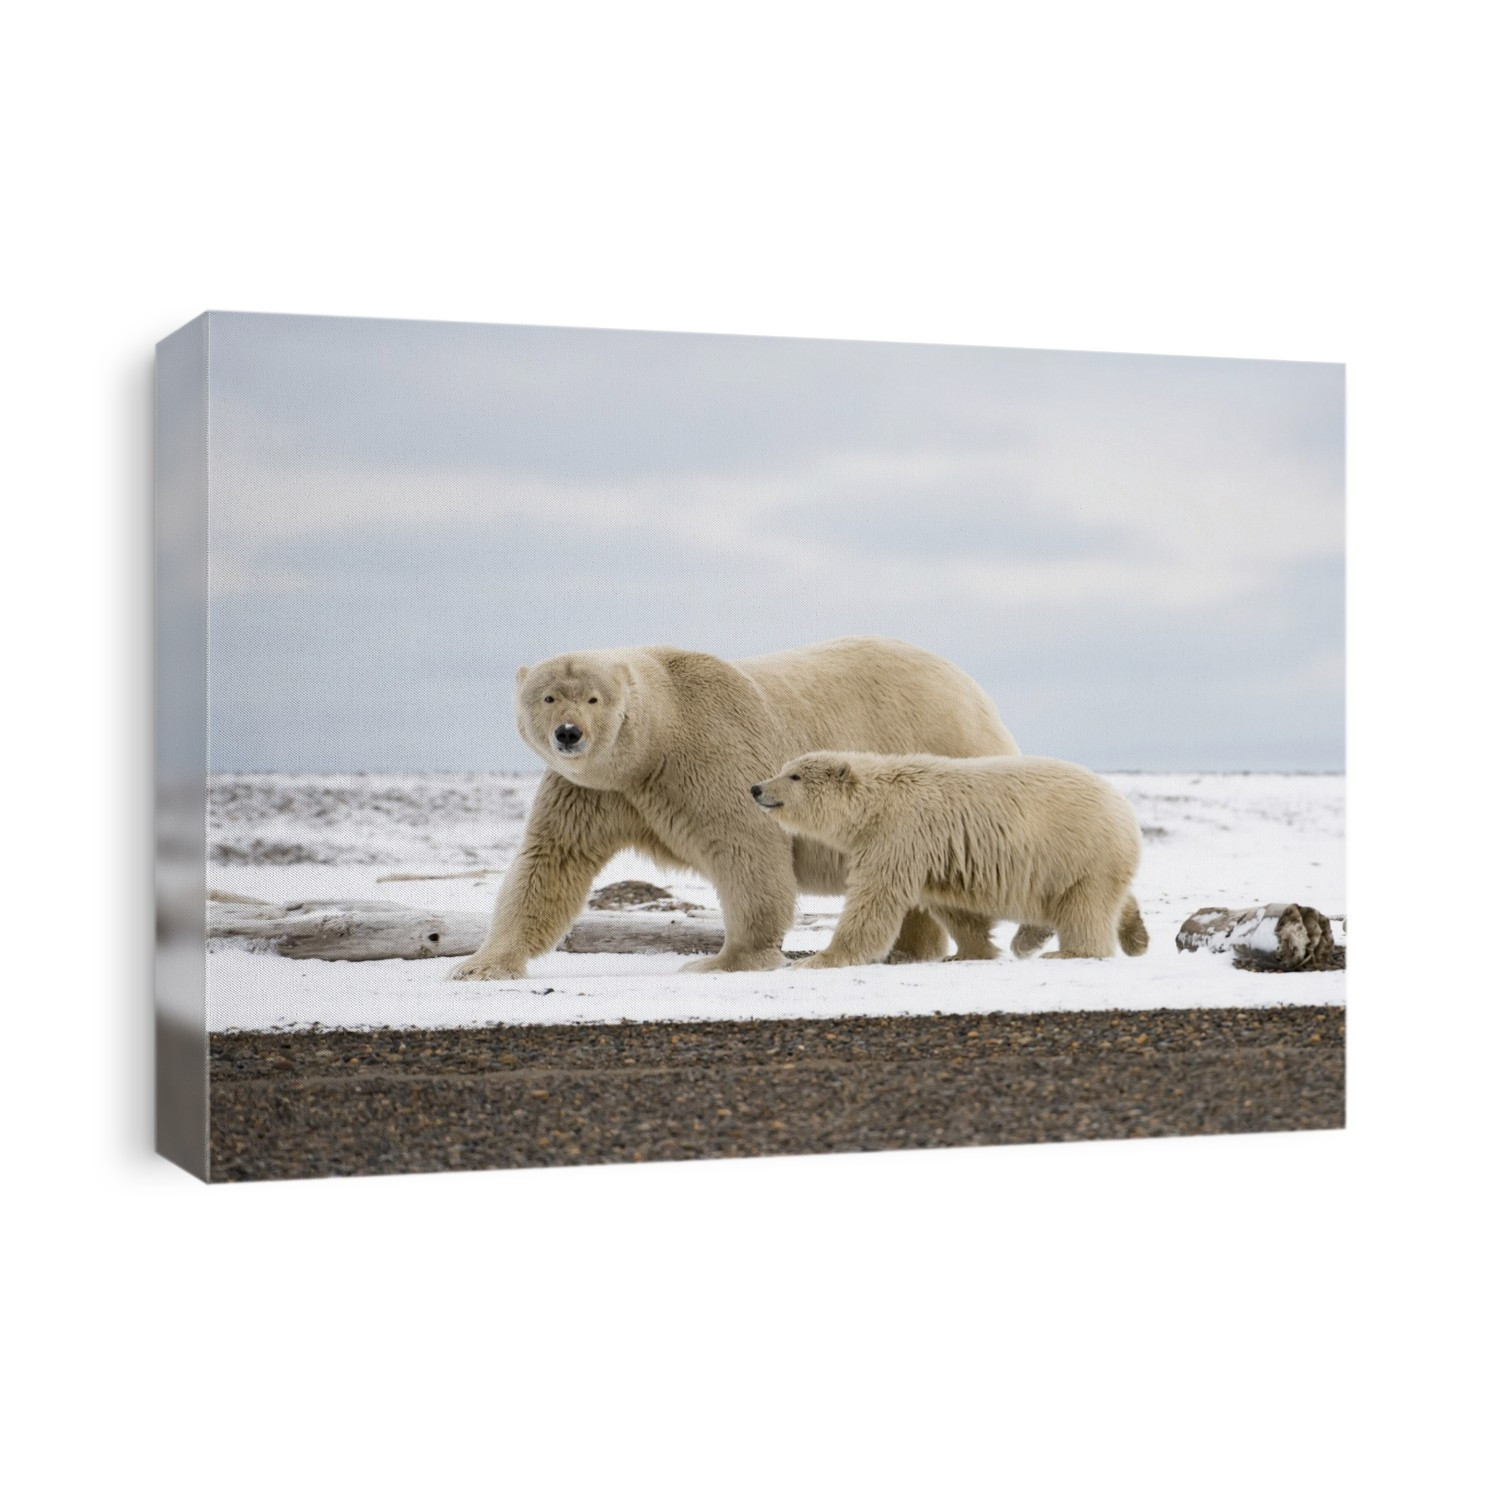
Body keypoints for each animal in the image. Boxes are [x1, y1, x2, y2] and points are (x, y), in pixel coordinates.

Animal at [449, 637, 1036, 981]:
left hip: (949, 752)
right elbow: (551, 861)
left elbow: (746, 847)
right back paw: (908, 949)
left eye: (593, 698)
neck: (659, 742)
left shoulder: (713, 755)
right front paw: (480, 966)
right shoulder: (592, 791)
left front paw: (722, 960)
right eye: (548, 697)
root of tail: (971, 686)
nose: (568, 734)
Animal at [749, 750, 1150, 968]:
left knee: (1085, 905)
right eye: (784, 768)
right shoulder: (931, 849)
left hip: (1079, 849)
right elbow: (950, 904)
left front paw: (818, 959)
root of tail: (1125, 810)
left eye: (794, 775)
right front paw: (969, 952)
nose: (756, 788)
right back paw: (1136, 936)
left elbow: (874, 898)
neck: (879, 802)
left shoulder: (899, 833)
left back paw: (1070, 952)